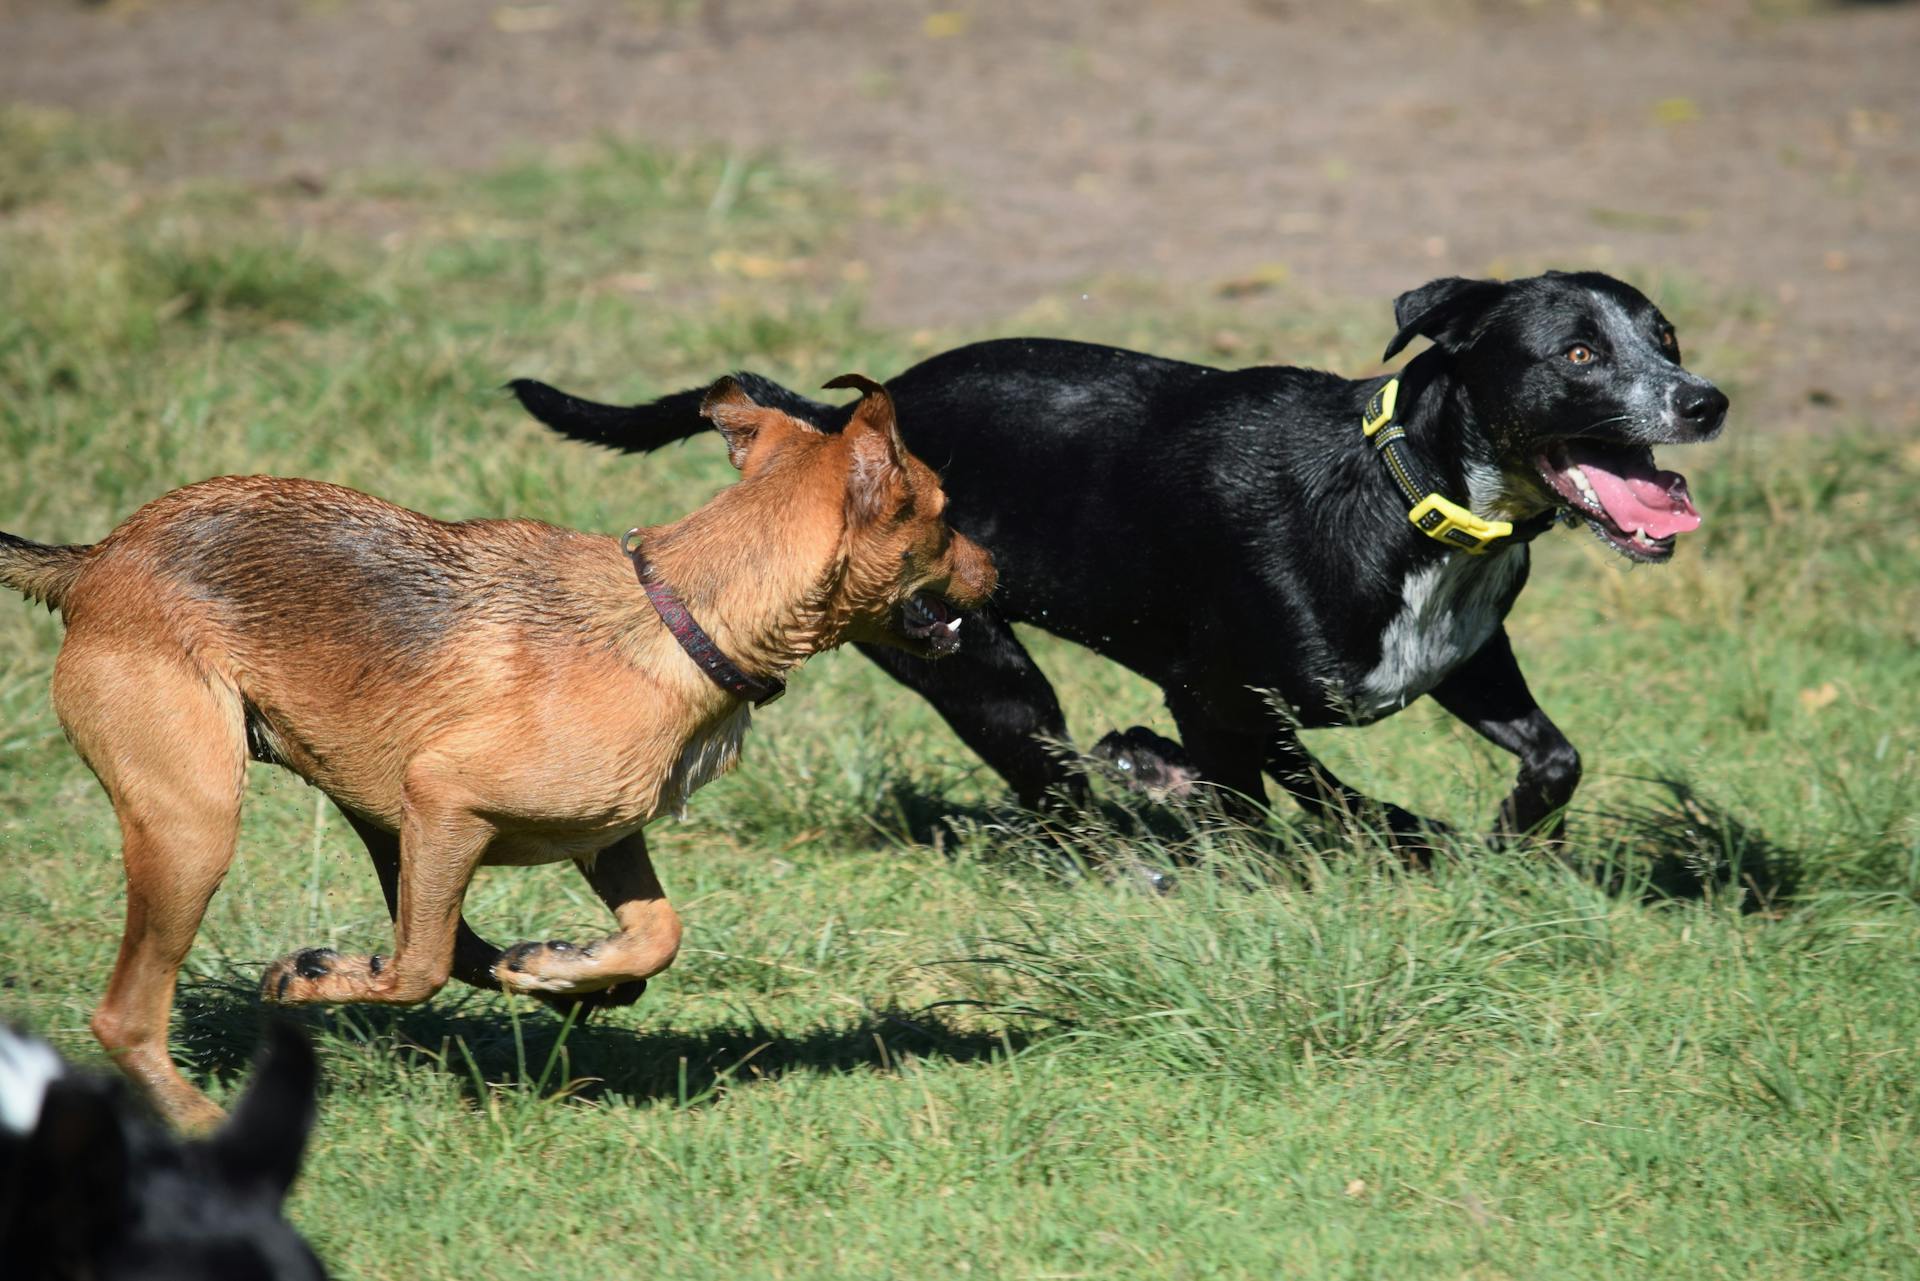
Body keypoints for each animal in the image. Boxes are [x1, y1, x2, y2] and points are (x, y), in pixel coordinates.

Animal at [0, 372, 990, 1129]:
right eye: (945, 515)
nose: (999, 569)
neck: (682, 618)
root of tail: (95, 560)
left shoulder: (606, 836)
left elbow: (657, 935)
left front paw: (568, 967)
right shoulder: (445, 799)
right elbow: (417, 970)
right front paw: (329, 980)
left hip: (363, 818)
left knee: (460, 940)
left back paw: (543, 972)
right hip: (198, 824)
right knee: (130, 1014)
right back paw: (210, 1112)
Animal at [510, 272, 1728, 852]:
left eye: (1666, 338)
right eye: (1580, 352)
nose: (1706, 400)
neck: (1402, 495)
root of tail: (835, 431)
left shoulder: (1463, 656)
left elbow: (1553, 760)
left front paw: (1503, 844)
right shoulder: (1214, 687)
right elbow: (1307, 792)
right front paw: (1401, 839)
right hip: (987, 672)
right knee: (1067, 797)